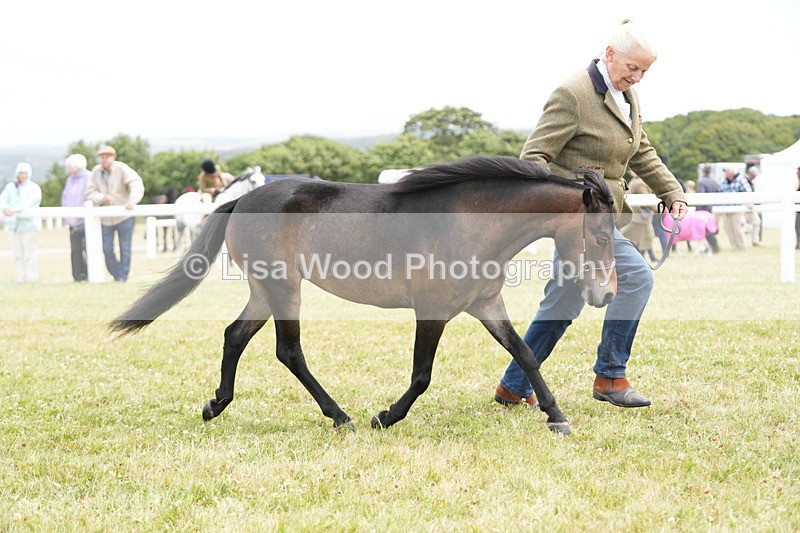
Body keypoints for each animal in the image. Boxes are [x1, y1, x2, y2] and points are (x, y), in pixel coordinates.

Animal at [110, 156, 617, 436]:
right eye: (601, 237)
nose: (607, 294)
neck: (468, 221)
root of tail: (241, 201)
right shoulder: (432, 311)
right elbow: (422, 375)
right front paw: (385, 417)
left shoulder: (485, 305)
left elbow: (526, 353)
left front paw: (557, 416)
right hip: (283, 287)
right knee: (289, 351)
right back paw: (341, 417)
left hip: (264, 290)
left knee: (235, 335)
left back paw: (216, 405)